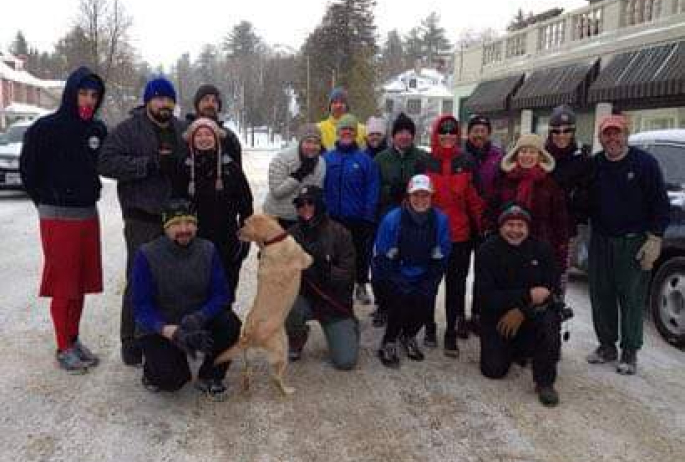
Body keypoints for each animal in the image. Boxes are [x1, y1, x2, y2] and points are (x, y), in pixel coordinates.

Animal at [215, 215, 312, 396]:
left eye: (245, 224)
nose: (236, 232)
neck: (272, 240)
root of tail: (250, 336)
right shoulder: (306, 258)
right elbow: (310, 257)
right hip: (282, 350)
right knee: (276, 378)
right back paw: (287, 390)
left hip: (248, 355)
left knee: (247, 371)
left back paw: (247, 386)